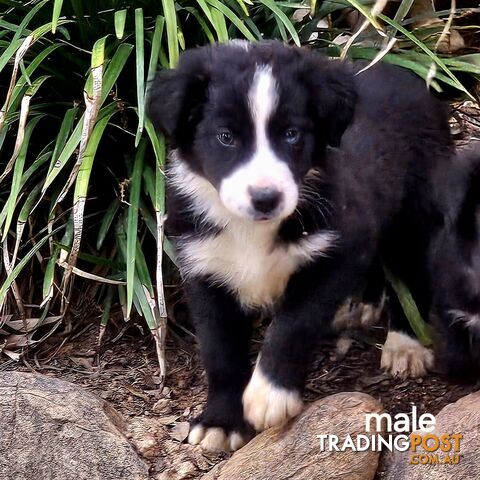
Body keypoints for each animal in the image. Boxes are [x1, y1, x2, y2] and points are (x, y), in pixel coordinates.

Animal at [149, 40, 454, 450]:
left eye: (292, 134)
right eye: (225, 137)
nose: (266, 198)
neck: (252, 229)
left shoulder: (339, 247)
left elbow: (293, 324)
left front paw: (270, 394)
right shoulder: (205, 268)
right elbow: (218, 349)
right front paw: (220, 421)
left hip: (416, 212)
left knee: (412, 271)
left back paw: (405, 343)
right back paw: (360, 307)